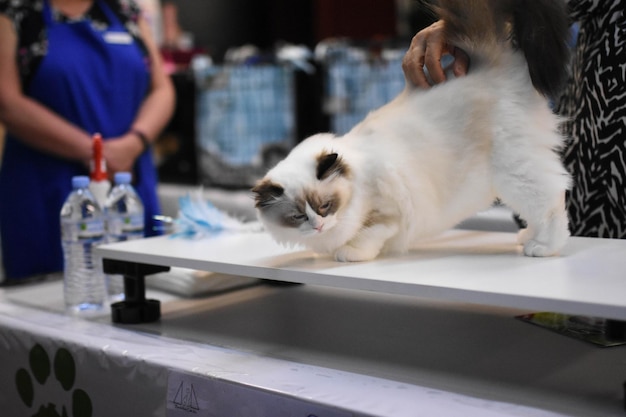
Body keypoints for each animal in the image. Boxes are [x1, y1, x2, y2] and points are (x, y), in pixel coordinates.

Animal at [252, 0, 572, 260]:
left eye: (325, 206)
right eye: (297, 217)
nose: (318, 226)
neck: (355, 179)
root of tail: (488, 62)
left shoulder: (387, 214)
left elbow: (369, 236)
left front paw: (348, 254)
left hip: (515, 172)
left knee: (552, 204)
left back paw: (543, 247)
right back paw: (527, 237)